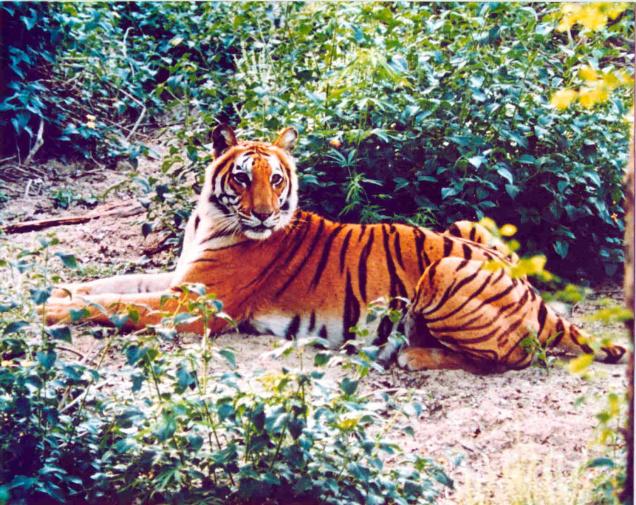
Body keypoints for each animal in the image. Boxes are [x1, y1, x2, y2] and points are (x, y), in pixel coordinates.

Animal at [44, 124, 628, 372]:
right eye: (242, 177)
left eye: (277, 180)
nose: (264, 214)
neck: (209, 217)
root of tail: (538, 299)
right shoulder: (179, 278)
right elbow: (113, 284)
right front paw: (58, 290)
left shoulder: (197, 304)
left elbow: (119, 304)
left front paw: (52, 308)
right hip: (470, 225)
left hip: (446, 271)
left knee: (512, 358)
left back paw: (408, 355)